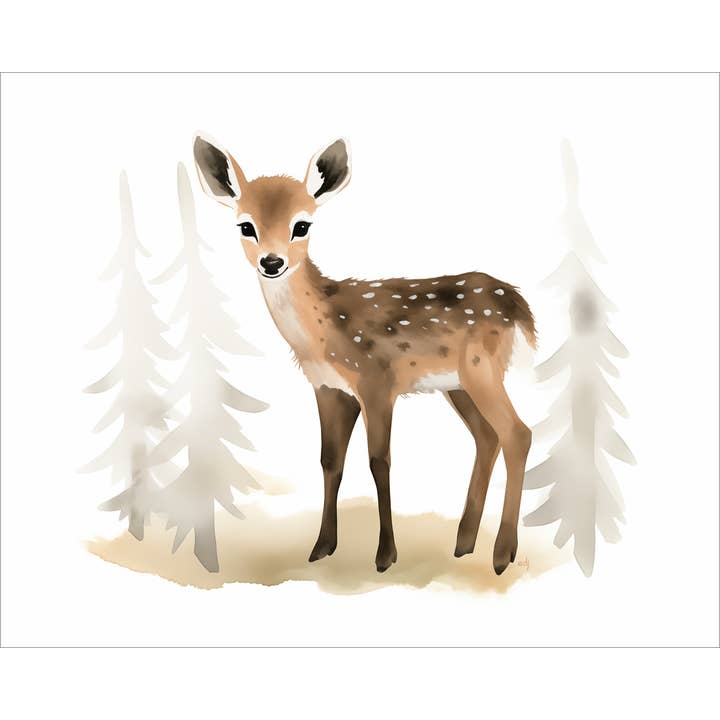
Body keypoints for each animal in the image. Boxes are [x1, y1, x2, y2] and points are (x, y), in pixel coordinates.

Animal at [193, 134, 537, 575]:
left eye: (301, 225)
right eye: (246, 226)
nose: (272, 262)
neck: (323, 332)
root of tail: (518, 306)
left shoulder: (377, 380)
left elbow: (379, 461)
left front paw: (385, 554)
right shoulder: (328, 388)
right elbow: (330, 461)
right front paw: (322, 547)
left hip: (482, 369)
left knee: (517, 434)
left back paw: (501, 552)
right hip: (457, 383)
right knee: (487, 437)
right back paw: (464, 543)